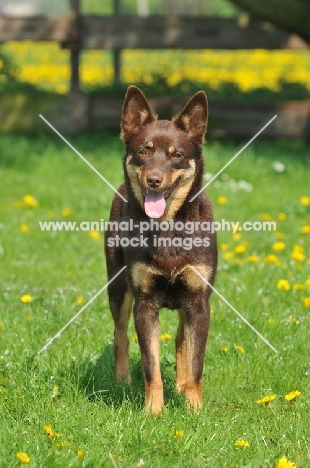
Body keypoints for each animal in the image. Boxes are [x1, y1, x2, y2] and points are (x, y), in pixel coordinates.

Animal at [105, 86, 217, 414]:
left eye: (177, 155)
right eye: (144, 151)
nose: (153, 180)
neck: (167, 228)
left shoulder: (199, 302)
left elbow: (195, 364)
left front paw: (194, 409)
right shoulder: (145, 304)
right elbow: (150, 366)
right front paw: (153, 411)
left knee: (181, 339)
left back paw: (180, 385)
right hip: (118, 287)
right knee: (119, 334)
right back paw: (122, 379)